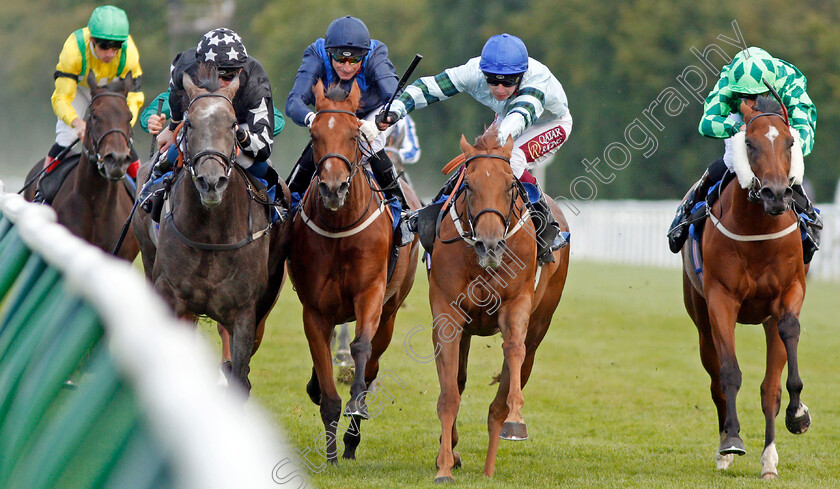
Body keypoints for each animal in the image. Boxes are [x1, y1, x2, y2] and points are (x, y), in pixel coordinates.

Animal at [132, 67, 286, 392]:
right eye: (189, 123)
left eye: (234, 125)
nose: (211, 182)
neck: (212, 234)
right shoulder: (171, 297)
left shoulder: (244, 313)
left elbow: (239, 374)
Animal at [288, 79, 420, 462]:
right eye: (314, 135)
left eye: (353, 135)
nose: (333, 188)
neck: (340, 225)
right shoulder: (315, 308)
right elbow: (323, 364)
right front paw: (330, 452)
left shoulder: (371, 292)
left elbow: (361, 346)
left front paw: (355, 405)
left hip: (390, 310)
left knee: (373, 359)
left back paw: (353, 435)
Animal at [426, 127, 572, 482]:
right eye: (468, 185)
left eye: (509, 186)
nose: (489, 244)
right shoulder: (447, 312)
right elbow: (449, 393)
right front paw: (444, 465)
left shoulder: (517, 304)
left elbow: (513, 352)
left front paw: (516, 420)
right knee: (459, 381)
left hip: (541, 321)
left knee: (509, 383)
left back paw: (491, 465)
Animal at [684, 94, 812, 476]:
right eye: (750, 144)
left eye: (790, 142)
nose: (776, 194)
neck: (758, 230)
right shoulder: (720, 300)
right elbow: (729, 374)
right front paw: (731, 441)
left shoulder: (790, 292)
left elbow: (788, 333)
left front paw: (798, 414)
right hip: (700, 319)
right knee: (715, 380)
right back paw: (724, 449)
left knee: (769, 387)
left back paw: (769, 458)